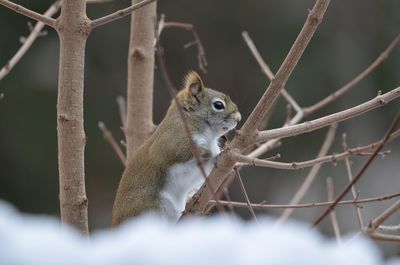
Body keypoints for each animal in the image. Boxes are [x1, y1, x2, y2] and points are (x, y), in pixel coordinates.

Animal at [111, 71, 241, 224]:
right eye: (218, 105)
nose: (238, 118)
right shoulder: (171, 140)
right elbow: (177, 152)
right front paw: (211, 154)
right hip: (154, 208)